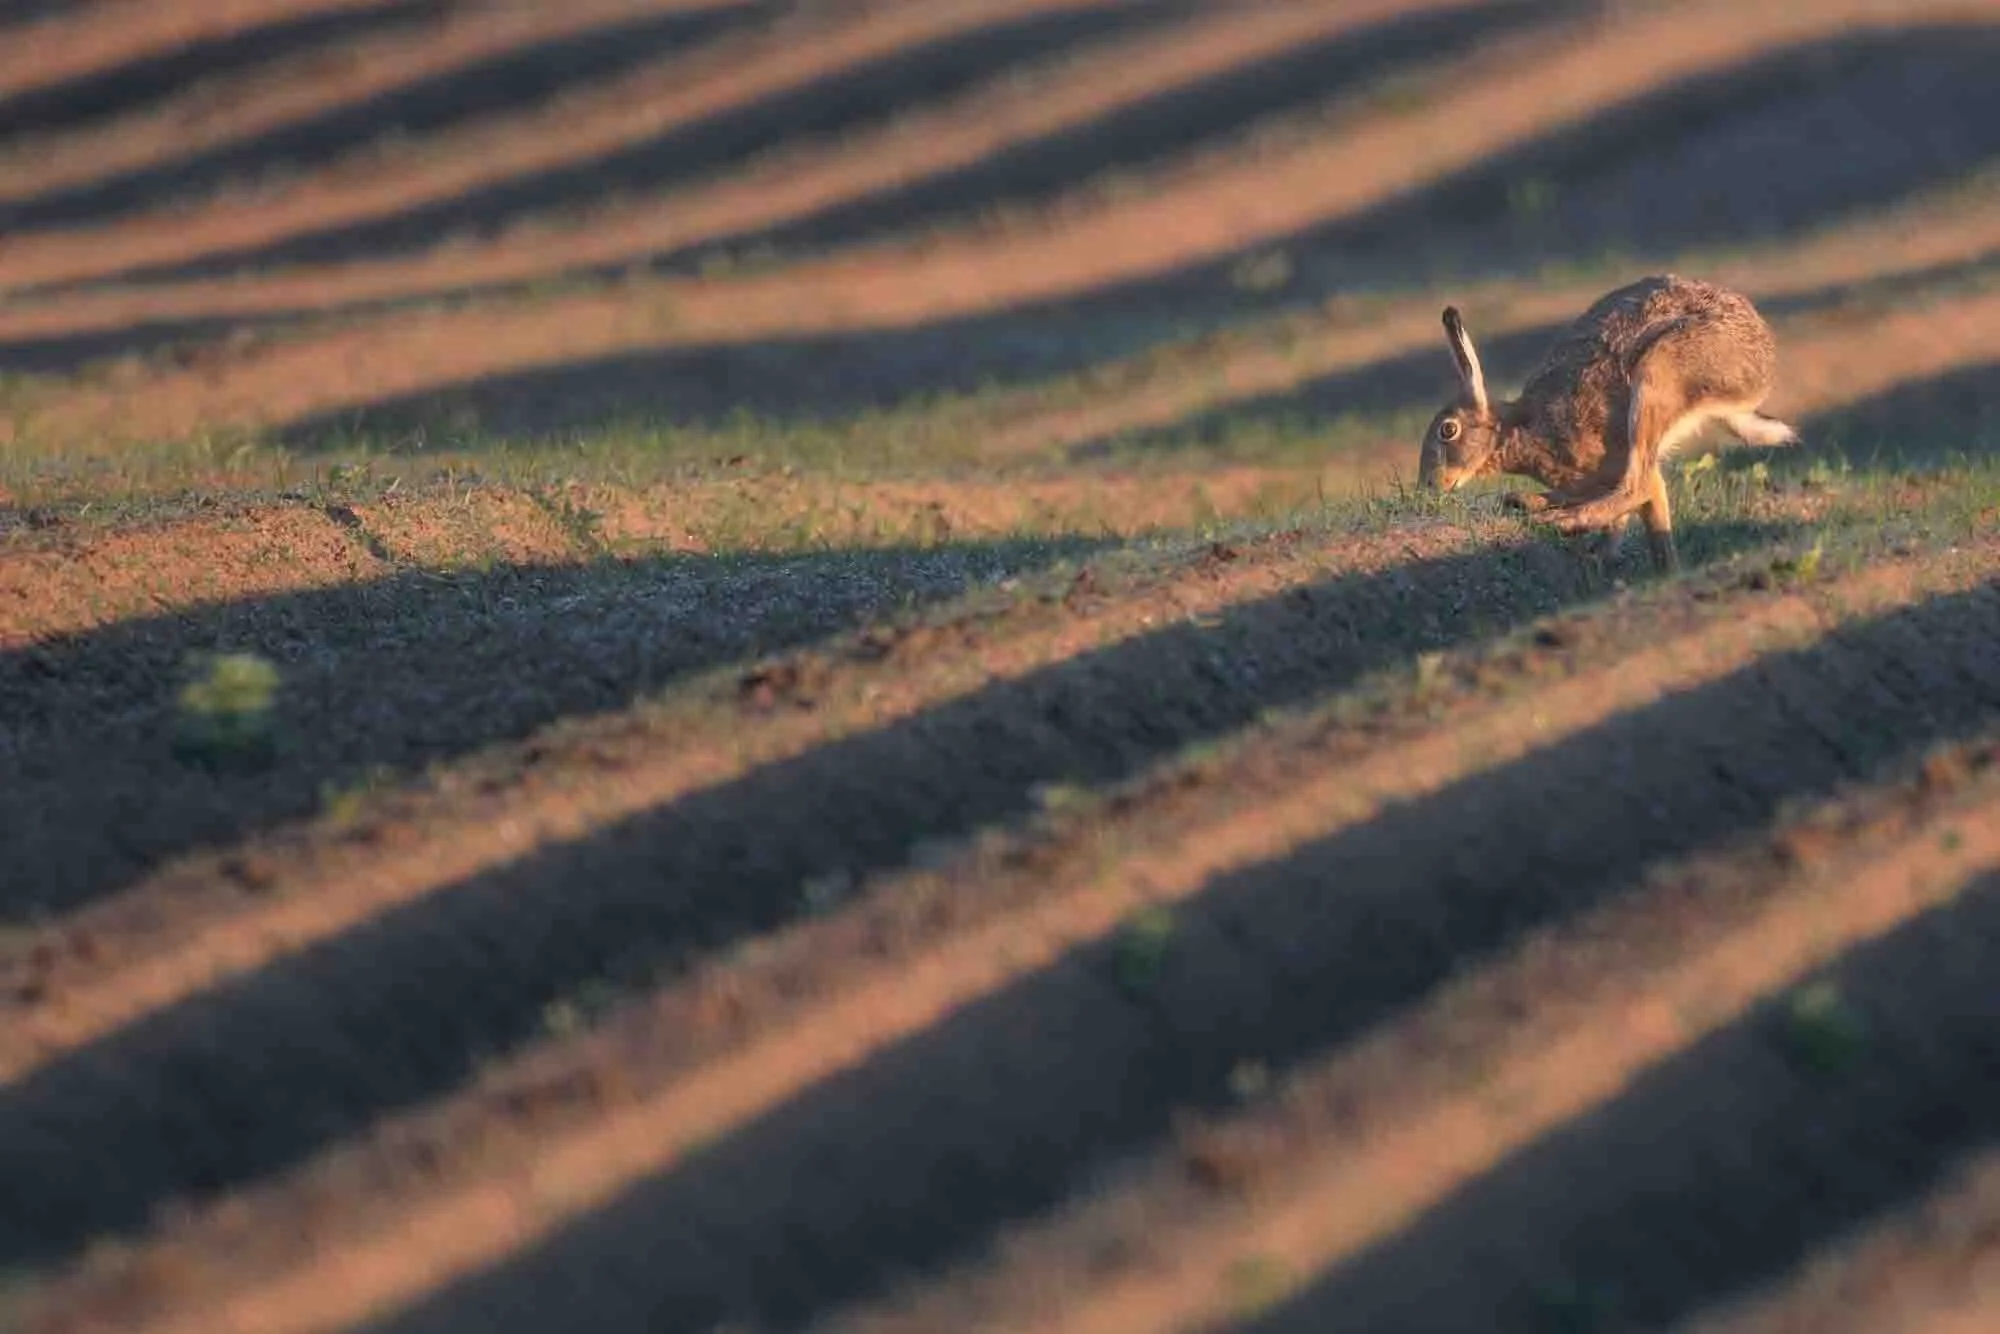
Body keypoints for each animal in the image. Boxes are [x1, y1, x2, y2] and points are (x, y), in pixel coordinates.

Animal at [1416, 274, 1800, 573]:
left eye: (1448, 430)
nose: (1430, 486)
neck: (1515, 431)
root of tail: (1762, 353)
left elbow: (1646, 493)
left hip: (1657, 375)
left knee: (1637, 484)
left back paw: (1562, 523)